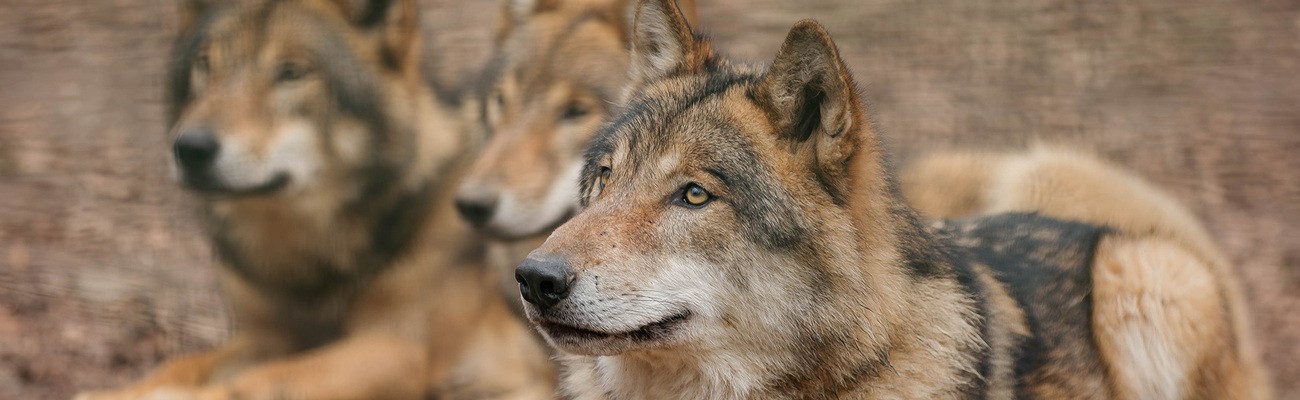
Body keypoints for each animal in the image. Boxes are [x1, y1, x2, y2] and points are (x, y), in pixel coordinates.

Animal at [74, 0, 553, 400]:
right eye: (205, 64)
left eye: (290, 73)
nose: (190, 147)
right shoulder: (267, 339)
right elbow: (183, 364)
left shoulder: (400, 348)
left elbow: (261, 382)